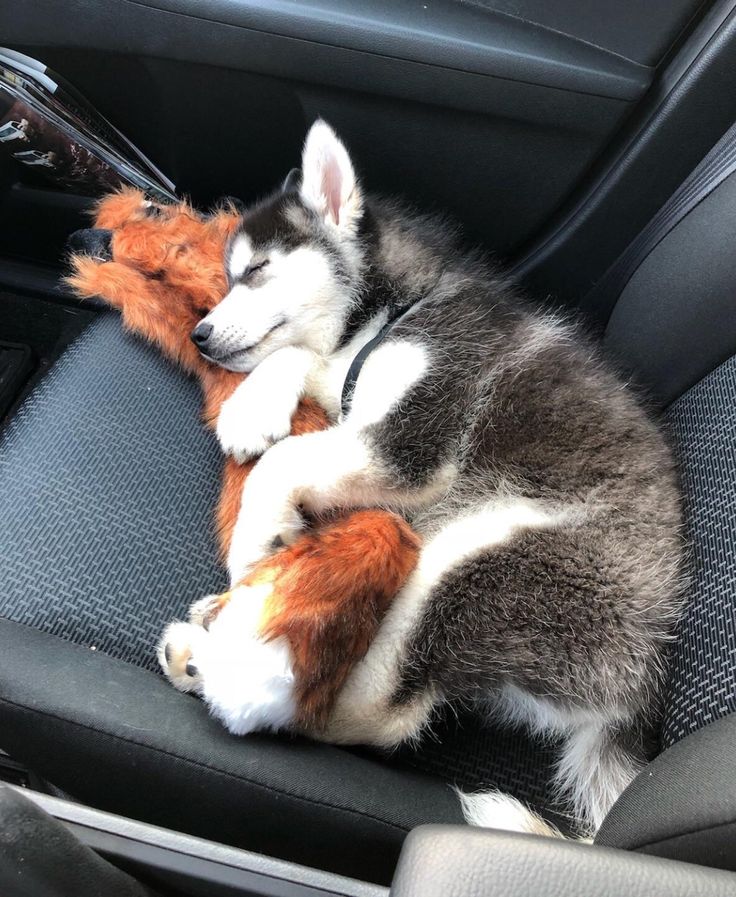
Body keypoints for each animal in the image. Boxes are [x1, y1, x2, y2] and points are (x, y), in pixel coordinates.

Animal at [162, 119, 684, 832]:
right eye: (227, 276)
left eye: (258, 271)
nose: (201, 334)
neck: (402, 310)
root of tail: (634, 697)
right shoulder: (356, 393)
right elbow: (302, 362)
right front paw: (255, 404)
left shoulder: (417, 439)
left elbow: (284, 459)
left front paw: (256, 540)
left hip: (487, 561)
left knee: (378, 714)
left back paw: (226, 667)